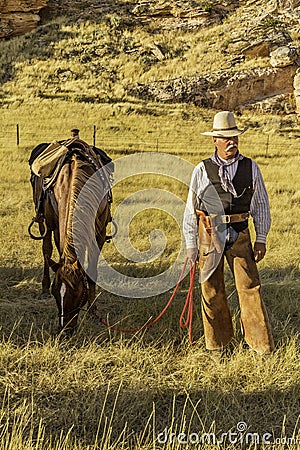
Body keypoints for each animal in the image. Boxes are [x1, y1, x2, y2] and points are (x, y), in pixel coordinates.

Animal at [29, 141, 112, 330]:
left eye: (77, 294)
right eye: (55, 292)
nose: (64, 329)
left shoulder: (100, 233)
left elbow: (92, 270)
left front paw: (93, 311)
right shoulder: (58, 228)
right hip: (44, 222)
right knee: (46, 250)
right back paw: (43, 287)